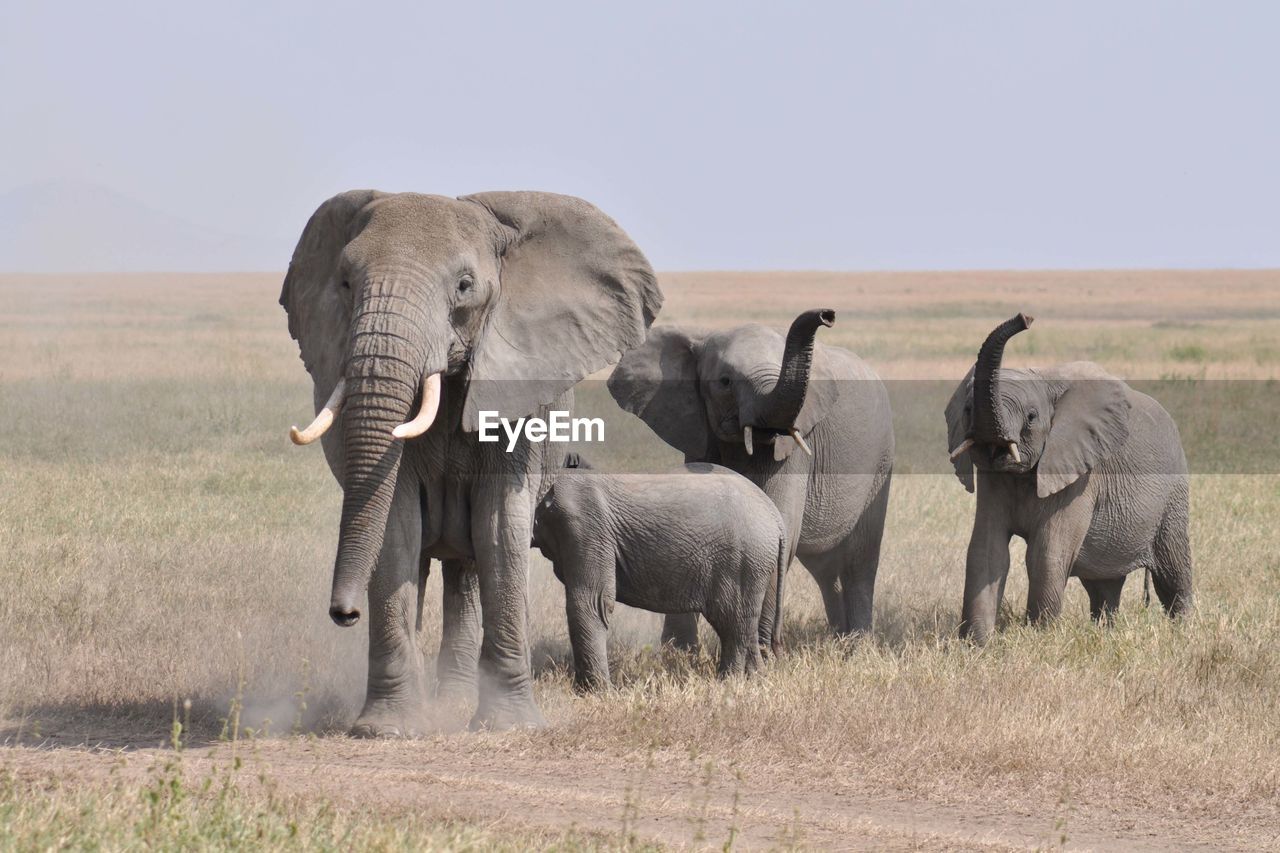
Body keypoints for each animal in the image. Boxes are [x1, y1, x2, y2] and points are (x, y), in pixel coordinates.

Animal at [280, 188, 660, 732]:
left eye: (464, 286)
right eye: (346, 282)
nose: (343, 613)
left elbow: (499, 523)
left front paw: (510, 727)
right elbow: (394, 523)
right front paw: (386, 730)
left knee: (470, 562)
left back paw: (456, 700)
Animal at [532, 455, 788, 686]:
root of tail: (775, 516)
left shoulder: (583, 526)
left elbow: (592, 602)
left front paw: (596, 693)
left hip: (743, 561)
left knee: (731, 621)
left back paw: (729, 682)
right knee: (741, 624)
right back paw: (755, 680)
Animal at [606, 307, 890, 645]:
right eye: (725, 382)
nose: (827, 315)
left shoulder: (794, 448)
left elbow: (779, 523)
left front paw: (760, 647)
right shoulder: (698, 430)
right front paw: (679, 650)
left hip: (881, 461)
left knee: (860, 560)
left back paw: (857, 644)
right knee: (825, 567)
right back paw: (839, 637)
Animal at [947, 312, 1192, 637]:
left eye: (1031, 417)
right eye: (967, 409)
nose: (1025, 318)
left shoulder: (1080, 477)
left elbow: (1045, 554)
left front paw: (1038, 638)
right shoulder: (993, 478)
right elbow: (986, 551)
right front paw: (976, 643)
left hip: (1173, 496)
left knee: (1173, 571)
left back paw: (1186, 631)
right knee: (1103, 588)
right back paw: (1105, 633)